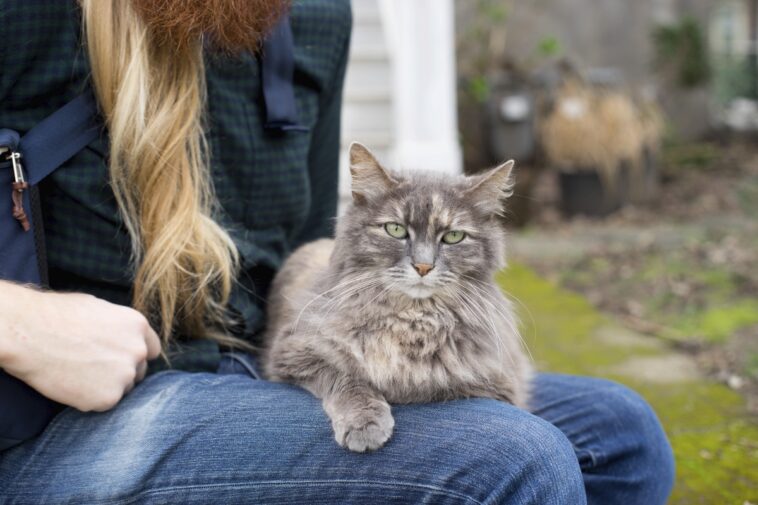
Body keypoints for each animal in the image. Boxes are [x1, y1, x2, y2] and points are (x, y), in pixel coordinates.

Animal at [264, 143, 532, 452]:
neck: (412, 319)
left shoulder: (497, 385)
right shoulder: (293, 351)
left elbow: (431, 387)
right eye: (395, 230)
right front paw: (365, 422)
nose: (423, 267)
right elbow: (348, 379)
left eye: (453, 236)